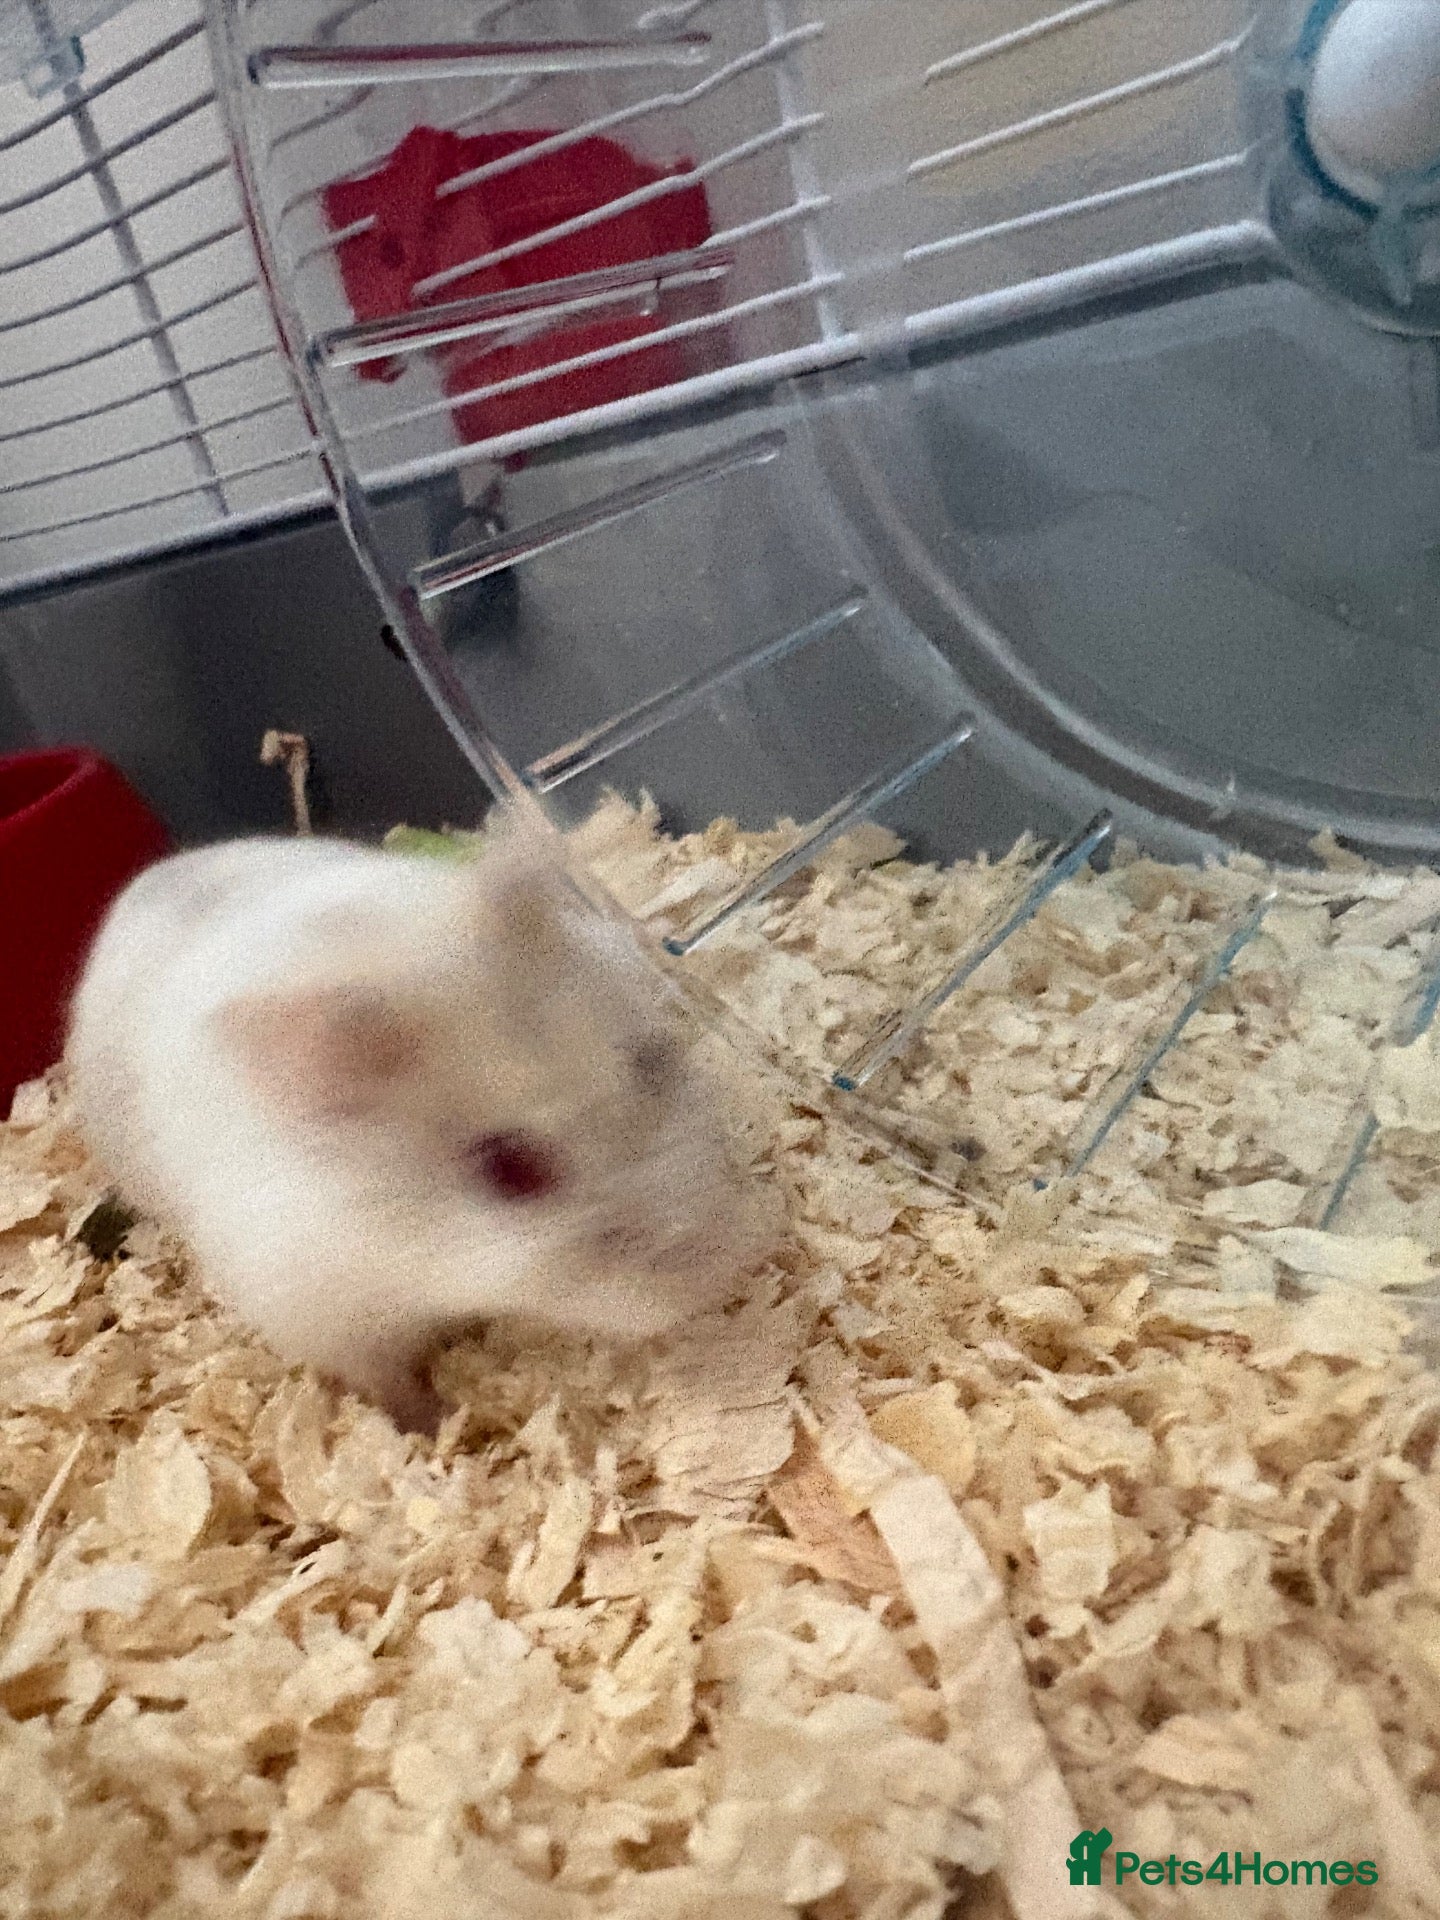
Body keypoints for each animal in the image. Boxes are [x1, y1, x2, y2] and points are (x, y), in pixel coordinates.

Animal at [66, 808, 780, 1431]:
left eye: (653, 1063)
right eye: (509, 1171)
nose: (718, 1276)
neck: (409, 1253)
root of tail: (139, 883)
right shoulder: (319, 1311)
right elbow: (387, 1382)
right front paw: (433, 1427)